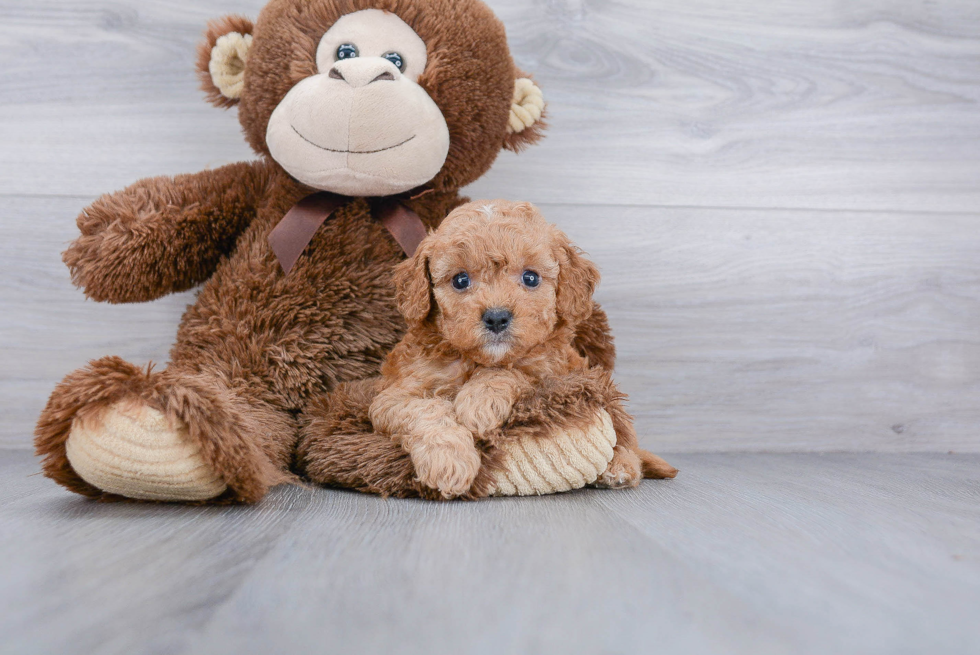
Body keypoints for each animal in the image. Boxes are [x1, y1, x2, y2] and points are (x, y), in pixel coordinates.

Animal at [368, 200, 672, 498]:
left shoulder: (550, 373)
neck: (478, 361)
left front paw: (479, 403)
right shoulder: (393, 396)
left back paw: (620, 468)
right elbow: (425, 410)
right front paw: (448, 462)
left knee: (625, 436)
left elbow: (512, 371)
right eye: (460, 280)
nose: (496, 317)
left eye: (531, 278)